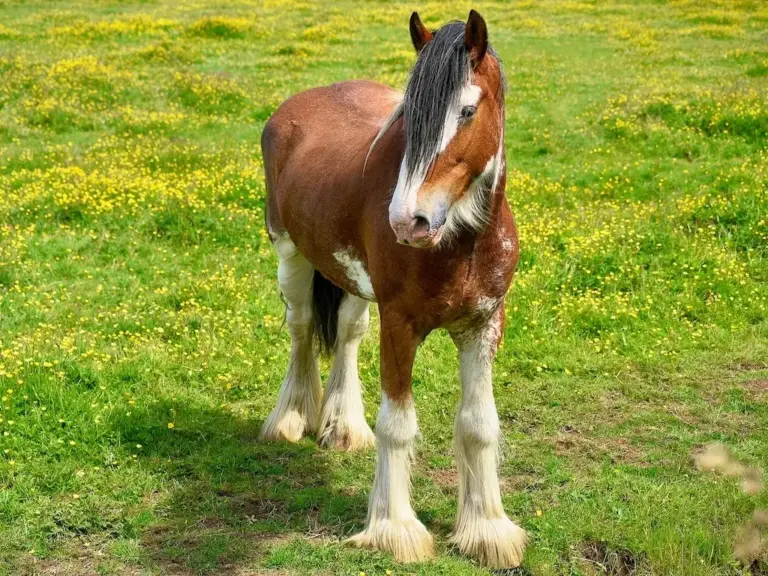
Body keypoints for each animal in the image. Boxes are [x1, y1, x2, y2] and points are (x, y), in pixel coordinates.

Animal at [259, 10, 526, 569]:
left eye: (468, 110)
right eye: (409, 119)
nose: (408, 220)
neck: (460, 241)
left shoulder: (484, 324)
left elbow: (479, 424)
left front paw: (487, 530)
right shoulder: (401, 324)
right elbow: (398, 426)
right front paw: (395, 529)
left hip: (353, 282)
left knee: (347, 332)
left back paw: (343, 426)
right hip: (290, 255)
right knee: (300, 328)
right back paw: (292, 417)